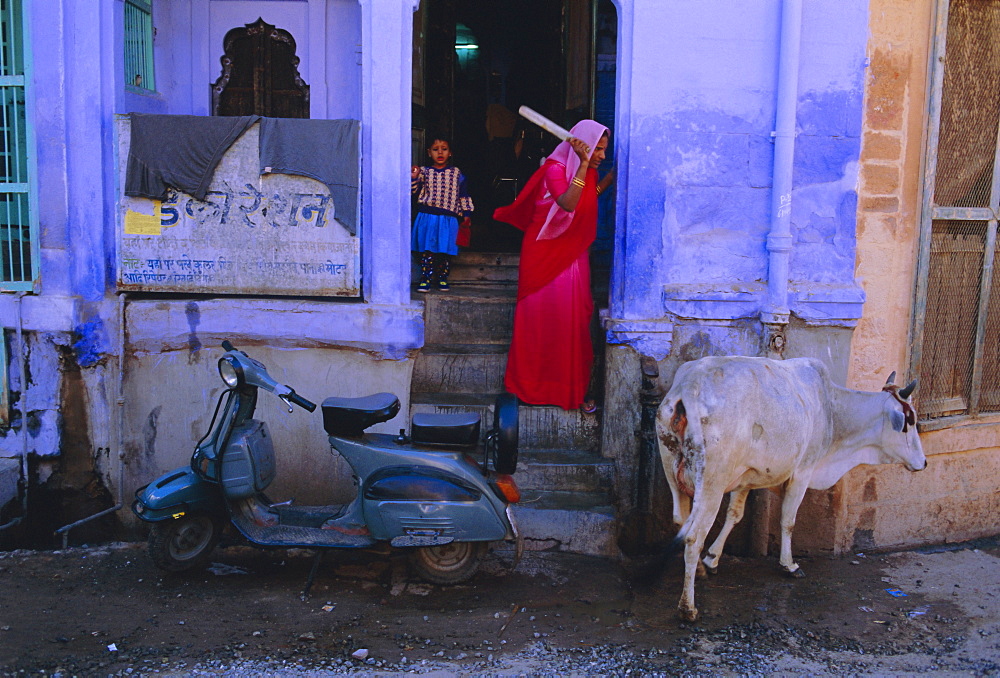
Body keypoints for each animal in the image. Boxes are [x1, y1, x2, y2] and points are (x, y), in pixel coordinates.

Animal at [652, 358, 924, 624]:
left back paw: (698, 568)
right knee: (693, 537)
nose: (923, 462)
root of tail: (689, 385)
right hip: (712, 483)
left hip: (673, 471)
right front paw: (789, 565)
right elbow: (788, 521)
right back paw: (688, 608)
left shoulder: (744, 478)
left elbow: (734, 515)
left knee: (680, 520)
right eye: (909, 421)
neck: (832, 410)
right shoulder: (802, 471)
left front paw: (712, 559)